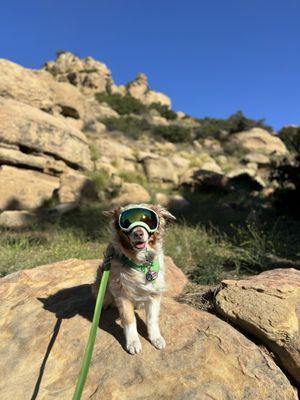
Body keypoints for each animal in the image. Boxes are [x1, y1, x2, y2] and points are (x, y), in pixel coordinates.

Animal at [91, 203, 176, 354]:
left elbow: (152, 319)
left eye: (148, 219)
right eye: (126, 222)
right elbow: (129, 320)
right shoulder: (122, 294)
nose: (138, 233)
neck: (141, 263)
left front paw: (156, 338)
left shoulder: (154, 293)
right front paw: (133, 342)